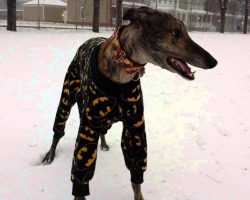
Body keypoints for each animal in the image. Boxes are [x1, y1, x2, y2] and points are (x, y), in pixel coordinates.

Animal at [42, 6, 217, 200]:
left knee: (102, 131)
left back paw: (103, 144)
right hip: (68, 95)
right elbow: (82, 170)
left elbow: (136, 171)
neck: (122, 72)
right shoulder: (88, 128)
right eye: (174, 32)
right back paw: (50, 155)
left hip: (106, 121)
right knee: (58, 130)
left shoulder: (135, 127)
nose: (213, 62)